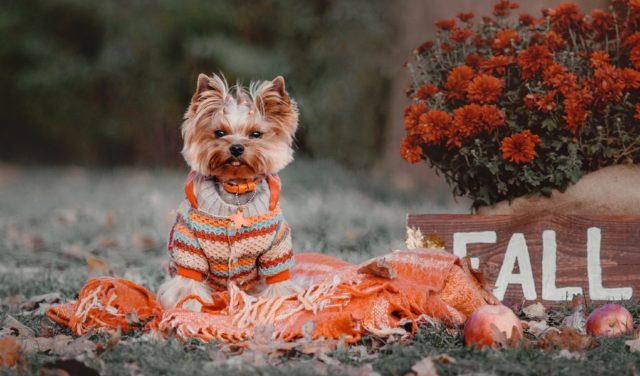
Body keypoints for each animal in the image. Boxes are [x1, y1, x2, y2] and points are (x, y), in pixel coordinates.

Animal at [159, 73, 302, 312]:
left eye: (256, 134)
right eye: (219, 133)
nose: (236, 147)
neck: (236, 188)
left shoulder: (276, 248)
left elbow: (278, 282)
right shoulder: (190, 246)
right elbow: (188, 285)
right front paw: (190, 308)